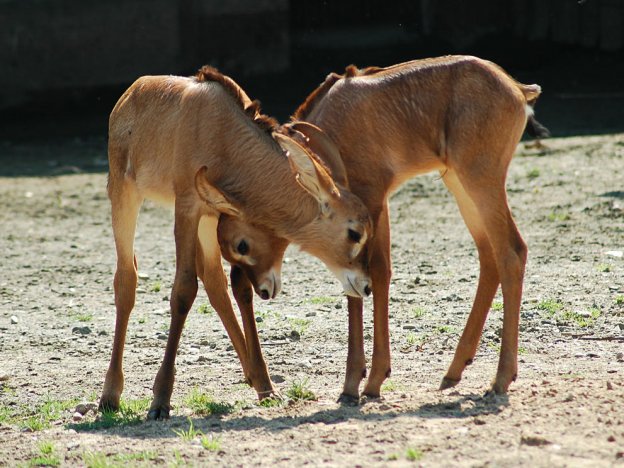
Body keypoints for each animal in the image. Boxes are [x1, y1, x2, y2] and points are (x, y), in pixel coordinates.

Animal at [98, 66, 370, 420]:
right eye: (354, 232)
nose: (365, 285)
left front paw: (266, 385)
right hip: (125, 194)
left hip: (205, 222)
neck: (223, 133)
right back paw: (110, 395)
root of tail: (131, 93)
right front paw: (160, 401)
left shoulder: (215, 213)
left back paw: (257, 380)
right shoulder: (187, 207)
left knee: (214, 281)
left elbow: (233, 287)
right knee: (126, 278)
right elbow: (183, 291)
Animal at [219, 54, 552, 398]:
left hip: (480, 180)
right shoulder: (370, 210)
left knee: (511, 251)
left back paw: (501, 378)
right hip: (459, 183)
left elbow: (374, 274)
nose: (260, 289)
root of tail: (516, 88)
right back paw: (454, 371)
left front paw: (369, 380)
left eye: (241, 243)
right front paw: (355, 381)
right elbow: (358, 283)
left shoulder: (373, 201)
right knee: (489, 256)